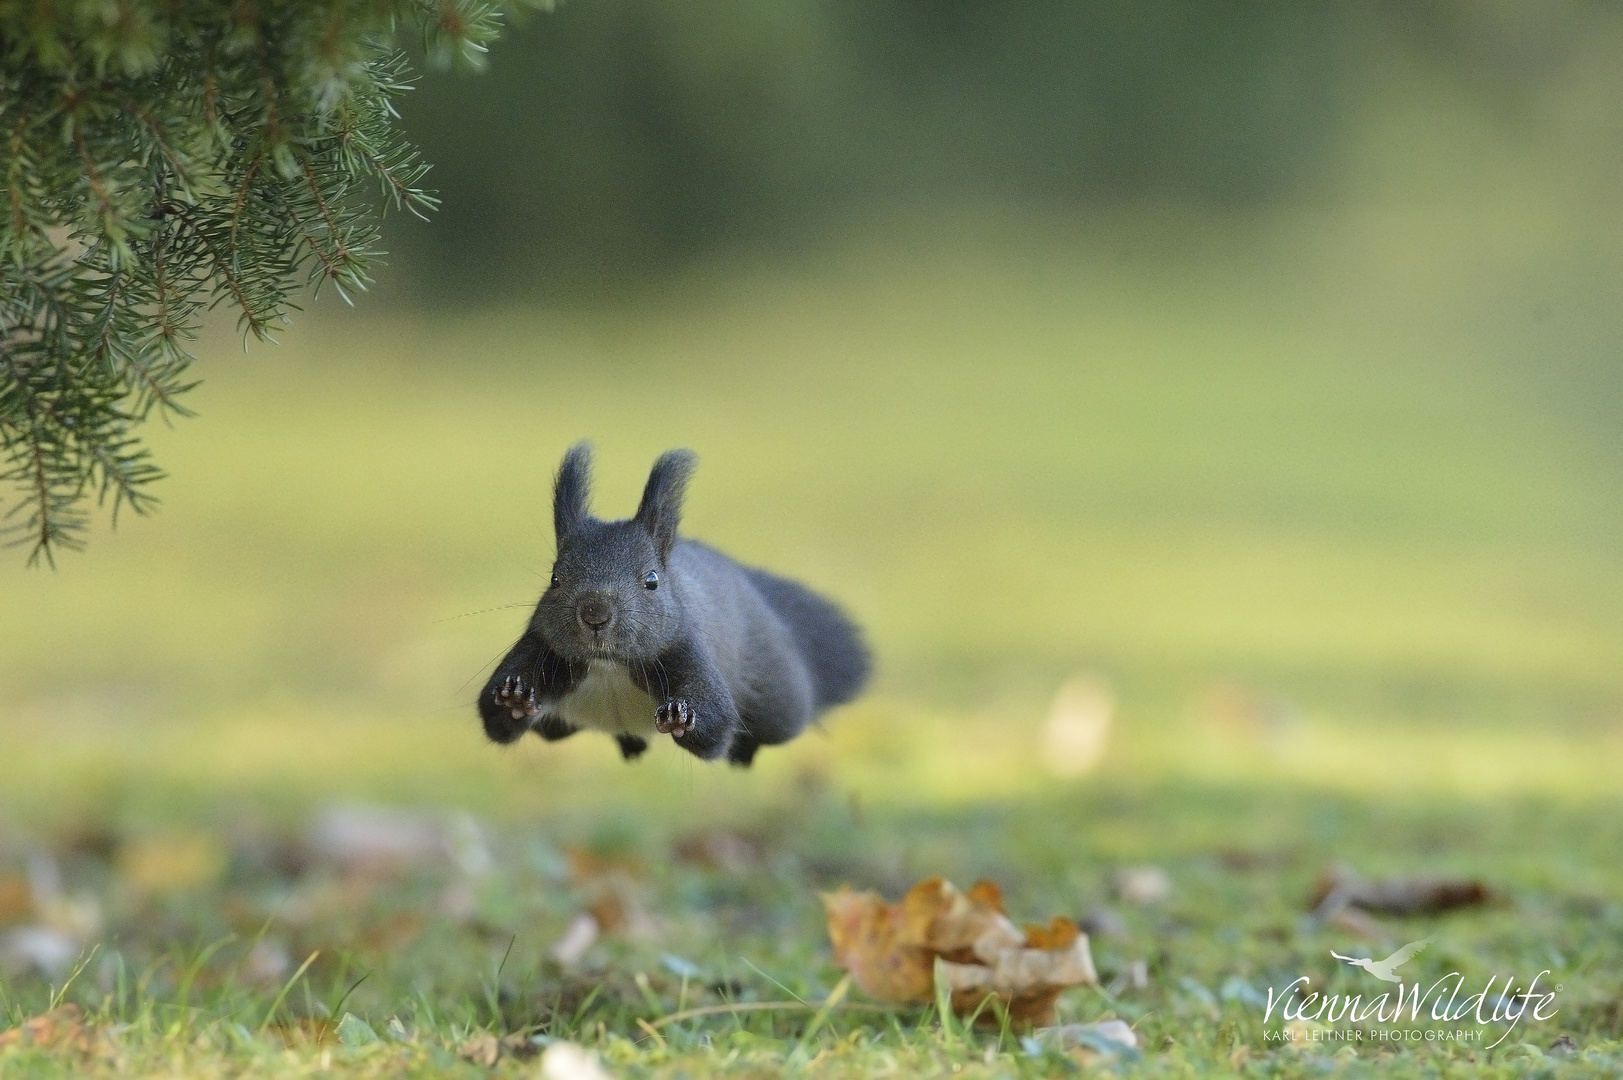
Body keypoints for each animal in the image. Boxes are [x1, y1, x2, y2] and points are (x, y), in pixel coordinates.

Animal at [473, 441, 869, 763]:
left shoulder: (685, 647)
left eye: (651, 581)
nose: (595, 615)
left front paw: (682, 716)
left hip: (777, 699)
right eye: (555, 579)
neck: (608, 665)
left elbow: (716, 729)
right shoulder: (539, 647)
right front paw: (514, 698)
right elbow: (493, 718)